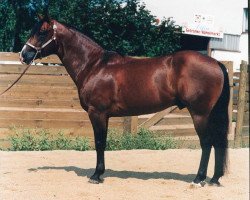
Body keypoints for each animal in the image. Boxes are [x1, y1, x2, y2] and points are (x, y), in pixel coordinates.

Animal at [20, 16, 229, 187]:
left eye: (42, 32)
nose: (24, 55)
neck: (94, 65)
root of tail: (216, 62)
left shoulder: (97, 113)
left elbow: (99, 142)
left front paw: (96, 176)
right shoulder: (103, 115)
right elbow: (103, 142)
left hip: (199, 113)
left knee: (207, 143)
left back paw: (199, 179)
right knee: (217, 141)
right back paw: (214, 179)